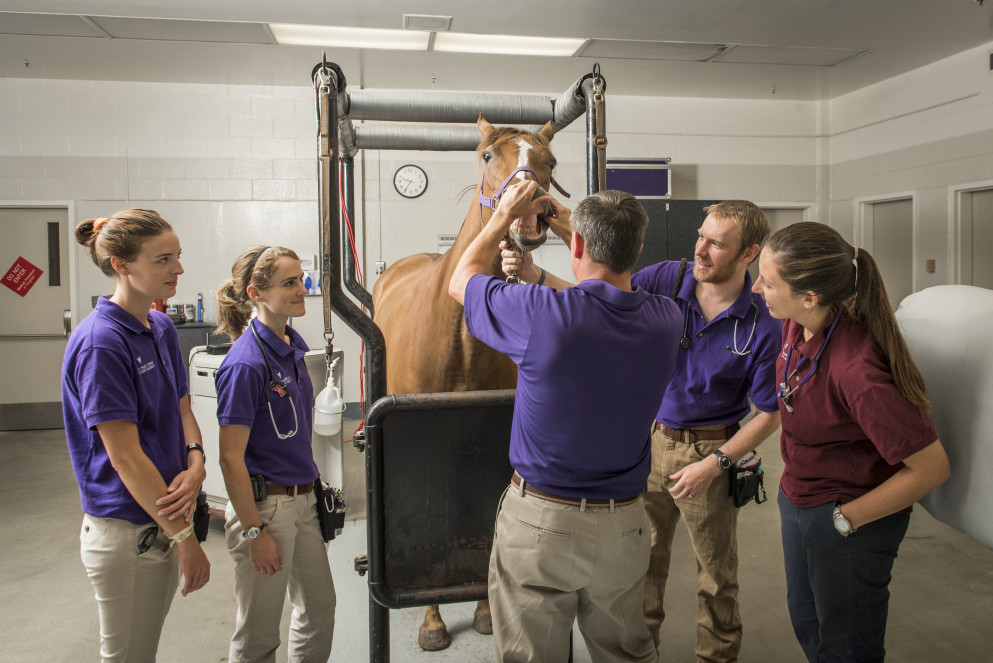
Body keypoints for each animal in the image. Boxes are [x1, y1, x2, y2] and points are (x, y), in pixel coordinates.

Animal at [370, 115, 560, 652]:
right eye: (489, 156)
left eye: (550, 161)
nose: (532, 206)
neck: (457, 330)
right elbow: (430, 530)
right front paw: (433, 623)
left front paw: (484, 610)